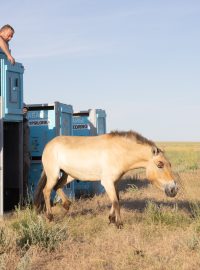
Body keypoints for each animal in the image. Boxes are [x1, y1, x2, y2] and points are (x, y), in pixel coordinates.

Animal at [34, 131, 178, 228]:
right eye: (160, 164)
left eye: (170, 164)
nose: (174, 189)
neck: (118, 152)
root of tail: (49, 145)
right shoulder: (107, 182)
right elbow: (115, 201)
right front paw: (119, 223)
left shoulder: (115, 182)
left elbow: (117, 199)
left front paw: (111, 219)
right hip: (53, 174)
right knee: (47, 190)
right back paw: (50, 217)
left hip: (68, 175)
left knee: (57, 186)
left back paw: (66, 204)